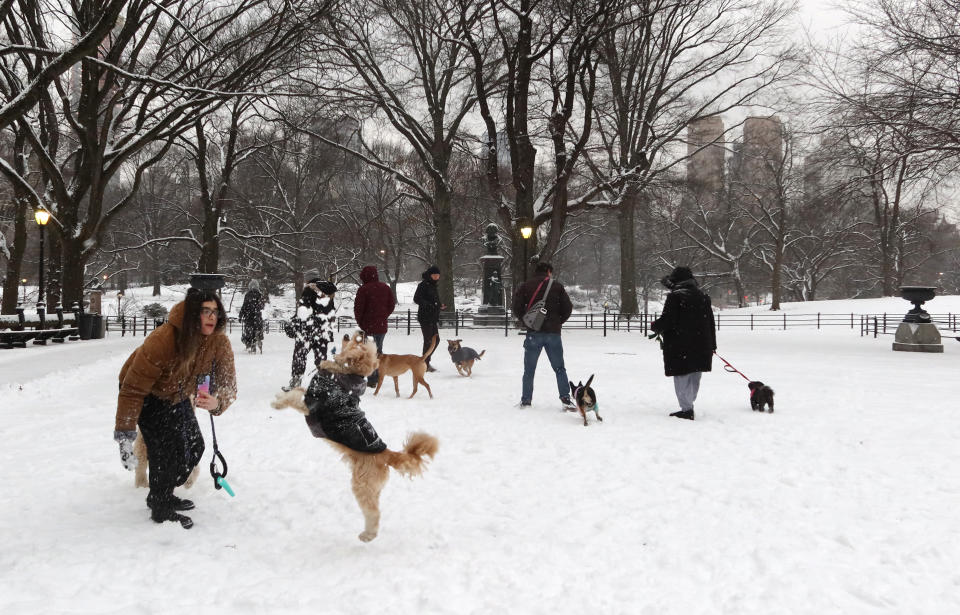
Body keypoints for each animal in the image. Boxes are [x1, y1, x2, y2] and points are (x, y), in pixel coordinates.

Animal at [268, 332, 436, 544]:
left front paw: (276, 404)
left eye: (359, 343)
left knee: (373, 513)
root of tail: (387, 453)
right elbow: (295, 391)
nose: (357, 333)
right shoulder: (309, 395)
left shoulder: (310, 406)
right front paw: (279, 397)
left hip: (362, 486)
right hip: (373, 488)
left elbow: (292, 398)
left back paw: (367, 535)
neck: (340, 378)